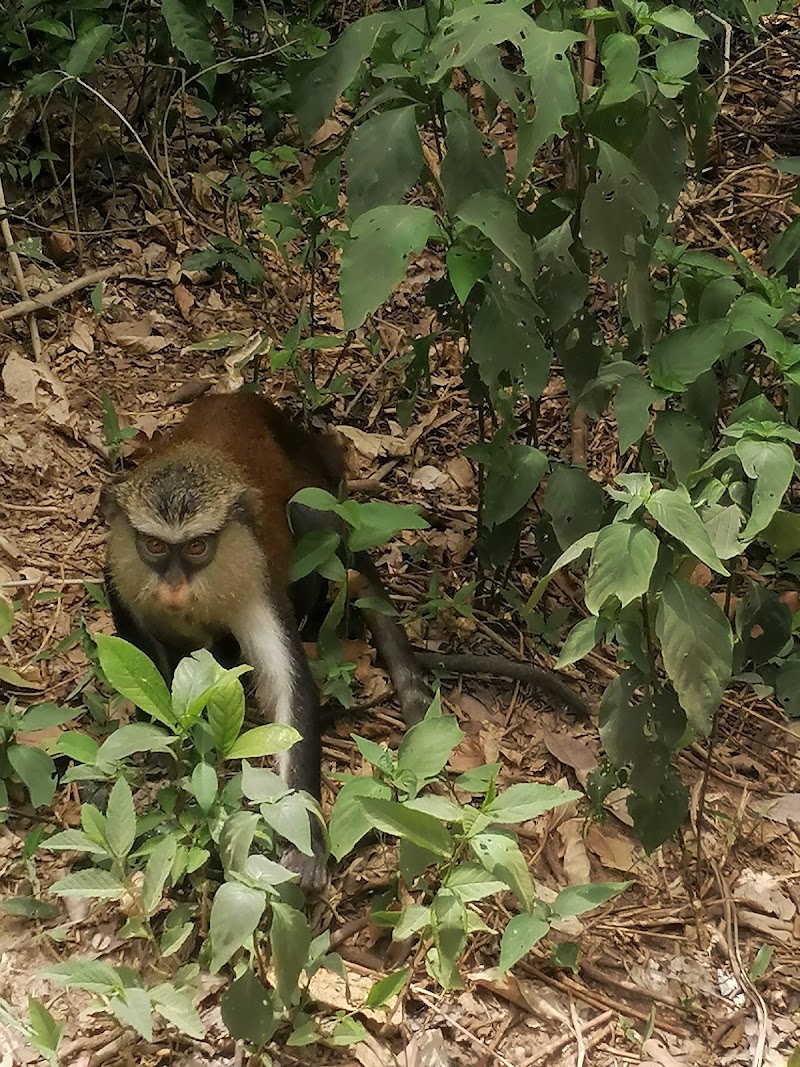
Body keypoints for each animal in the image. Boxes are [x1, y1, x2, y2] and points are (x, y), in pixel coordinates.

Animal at [101, 391, 432, 891]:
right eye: (155, 547)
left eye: (196, 548)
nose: (173, 589)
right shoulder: (120, 572)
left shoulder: (254, 583)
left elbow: (287, 688)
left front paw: (304, 841)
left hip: (321, 504)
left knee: (308, 513)